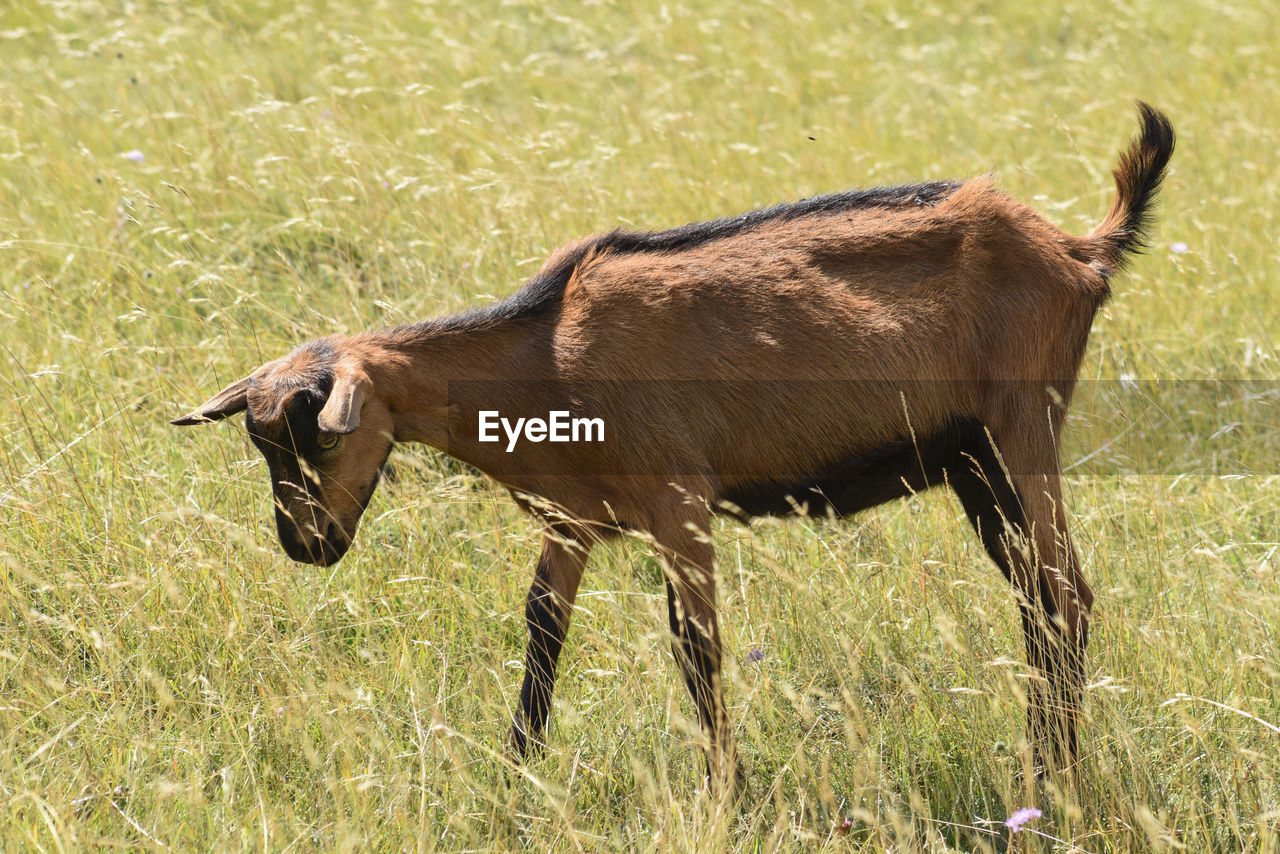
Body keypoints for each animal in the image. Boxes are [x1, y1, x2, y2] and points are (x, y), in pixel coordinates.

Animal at [175, 103, 1172, 793]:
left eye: (315, 438)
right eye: (262, 445)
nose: (305, 545)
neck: (542, 352)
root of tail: (1078, 250)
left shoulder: (679, 502)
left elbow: (695, 648)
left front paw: (722, 792)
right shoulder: (574, 520)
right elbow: (542, 629)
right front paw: (516, 773)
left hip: (1022, 431)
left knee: (1066, 596)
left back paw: (1055, 781)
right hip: (973, 465)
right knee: (1040, 603)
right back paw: (1045, 769)